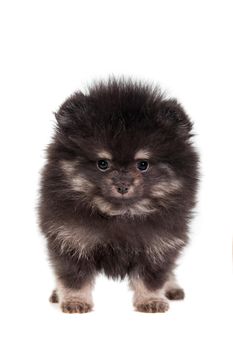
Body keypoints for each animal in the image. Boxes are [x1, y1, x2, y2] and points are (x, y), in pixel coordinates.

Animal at [38, 79, 198, 314]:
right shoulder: (71, 239)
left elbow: (151, 278)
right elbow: (73, 277)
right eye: (102, 163)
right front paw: (75, 301)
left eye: (143, 164)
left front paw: (151, 300)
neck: (119, 213)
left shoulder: (158, 243)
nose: (122, 185)